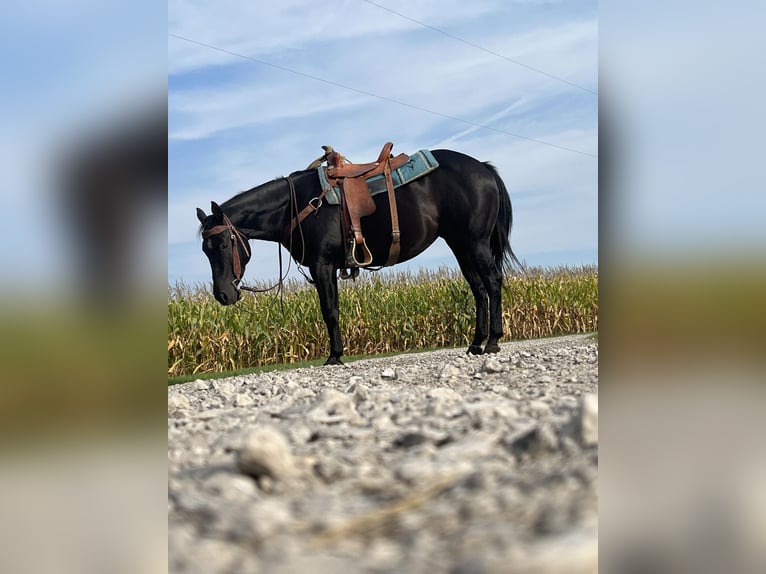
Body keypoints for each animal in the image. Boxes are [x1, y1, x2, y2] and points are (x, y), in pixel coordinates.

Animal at [196, 148, 520, 364]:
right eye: (204, 249)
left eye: (222, 245)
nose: (223, 294)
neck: (297, 205)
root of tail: (483, 168)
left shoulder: (322, 266)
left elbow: (330, 311)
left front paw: (334, 356)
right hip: (460, 244)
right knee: (477, 288)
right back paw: (476, 343)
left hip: (475, 243)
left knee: (492, 282)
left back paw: (493, 341)